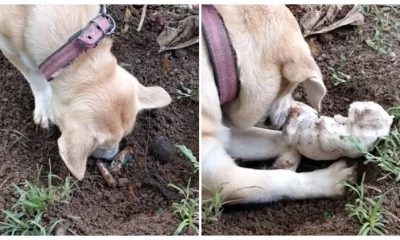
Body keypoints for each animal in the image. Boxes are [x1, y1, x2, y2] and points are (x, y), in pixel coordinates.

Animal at [0, 4, 172, 179]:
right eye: (104, 144)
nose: (110, 158)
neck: (81, 56)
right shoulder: (8, 45)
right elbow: (35, 77)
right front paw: (44, 107)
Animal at [202, 4, 354, 203]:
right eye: (290, 88)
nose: (295, 109)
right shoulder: (218, 175)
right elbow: (278, 179)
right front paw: (332, 179)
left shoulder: (225, 132)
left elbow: (276, 138)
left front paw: (287, 158)